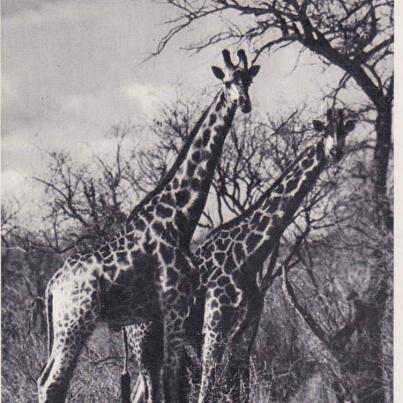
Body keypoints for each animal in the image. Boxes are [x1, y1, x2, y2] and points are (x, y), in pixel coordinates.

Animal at [36, 49, 260, 402]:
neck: (179, 218)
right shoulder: (175, 307)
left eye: (247, 79)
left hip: (64, 324)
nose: (244, 103)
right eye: (226, 81)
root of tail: (52, 286)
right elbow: (172, 379)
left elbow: (163, 380)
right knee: (53, 382)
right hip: (76, 321)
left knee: (47, 378)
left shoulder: (156, 315)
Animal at [186, 107, 356, 403]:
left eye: (345, 128)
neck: (247, 255)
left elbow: (238, 385)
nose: (335, 151)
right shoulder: (214, 322)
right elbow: (210, 385)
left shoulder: (247, 328)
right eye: (325, 129)